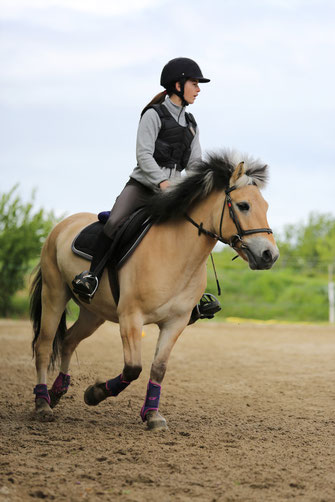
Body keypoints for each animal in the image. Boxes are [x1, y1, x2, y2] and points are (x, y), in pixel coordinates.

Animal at [30, 151, 280, 430]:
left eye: (265, 207)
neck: (175, 251)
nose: (269, 255)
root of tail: (63, 224)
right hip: (54, 294)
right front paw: (94, 394)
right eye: (244, 205)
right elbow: (133, 368)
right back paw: (42, 404)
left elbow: (158, 368)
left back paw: (57, 392)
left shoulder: (176, 322)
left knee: (69, 341)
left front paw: (152, 415)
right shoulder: (130, 318)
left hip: (93, 313)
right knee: (44, 345)